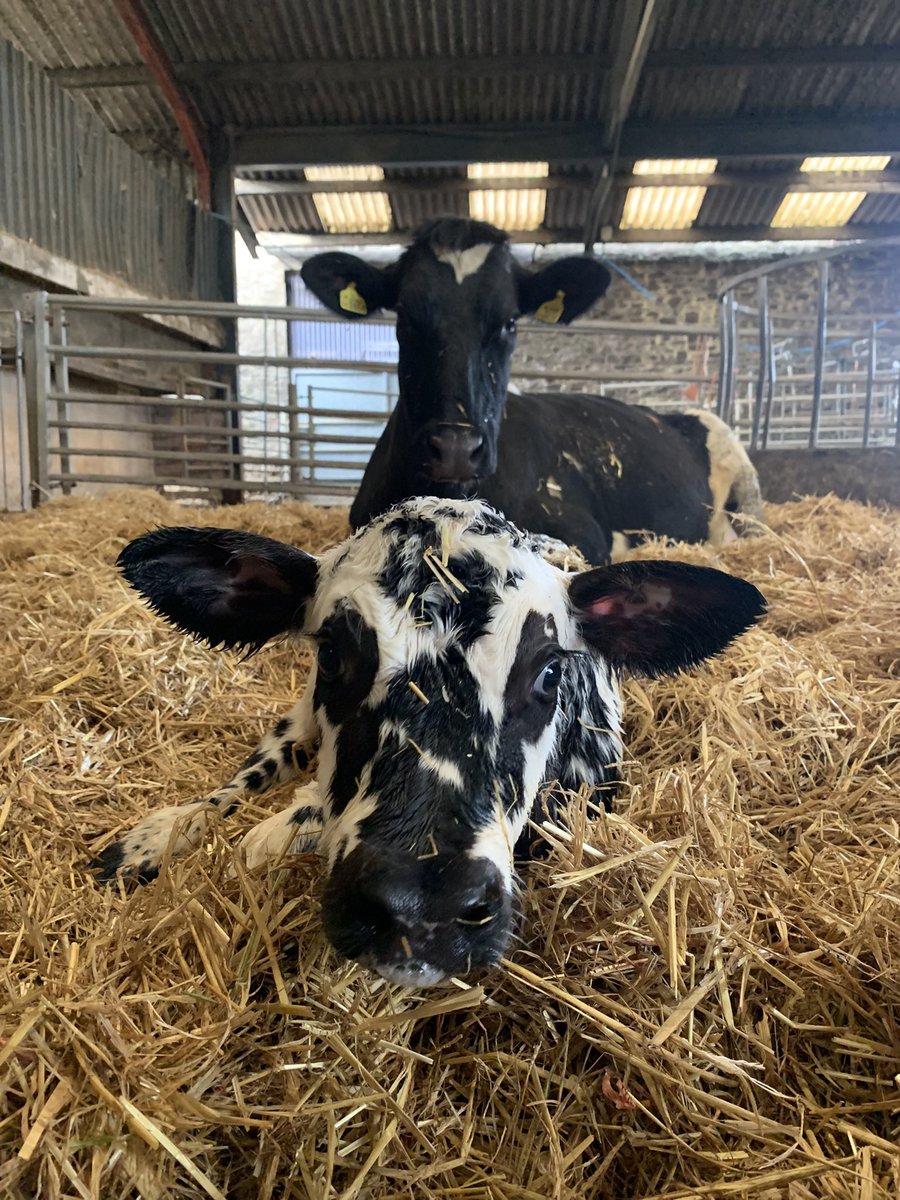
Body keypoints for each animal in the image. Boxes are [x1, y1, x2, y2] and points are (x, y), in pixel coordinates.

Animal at [91, 497, 765, 988]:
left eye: (550, 670)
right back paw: (153, 838)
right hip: (295, 721)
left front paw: (279, 831)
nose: (421, 907)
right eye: (331, 653)